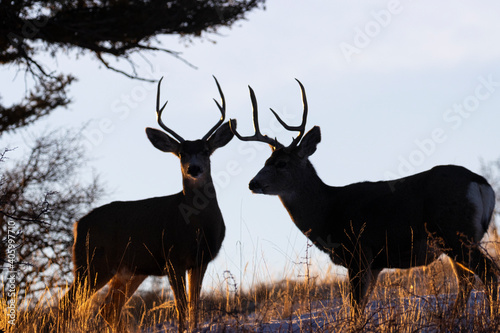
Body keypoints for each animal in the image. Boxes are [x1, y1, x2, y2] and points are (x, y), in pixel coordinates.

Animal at [61, 76, 234, 328]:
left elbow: (194, 308)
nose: (194, 168)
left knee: (108, 309)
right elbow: (182, 308)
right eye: (181, 153)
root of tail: (77, 225)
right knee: (68, 303)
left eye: (205, 150)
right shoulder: (173, 258)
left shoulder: (200, 261)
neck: (195, 225)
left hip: (128, 271)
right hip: (91, 263)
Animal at [229, 79, 496, 316]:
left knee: (488, 273)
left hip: (454, 232)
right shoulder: (375, 263)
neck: (327, 211)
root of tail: (480, 182)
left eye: (281, 163)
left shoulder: (358, 251)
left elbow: (355, 307)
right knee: (467, 280)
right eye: (266, 161)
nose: (253, 183)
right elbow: (361, 304)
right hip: (458, 239)